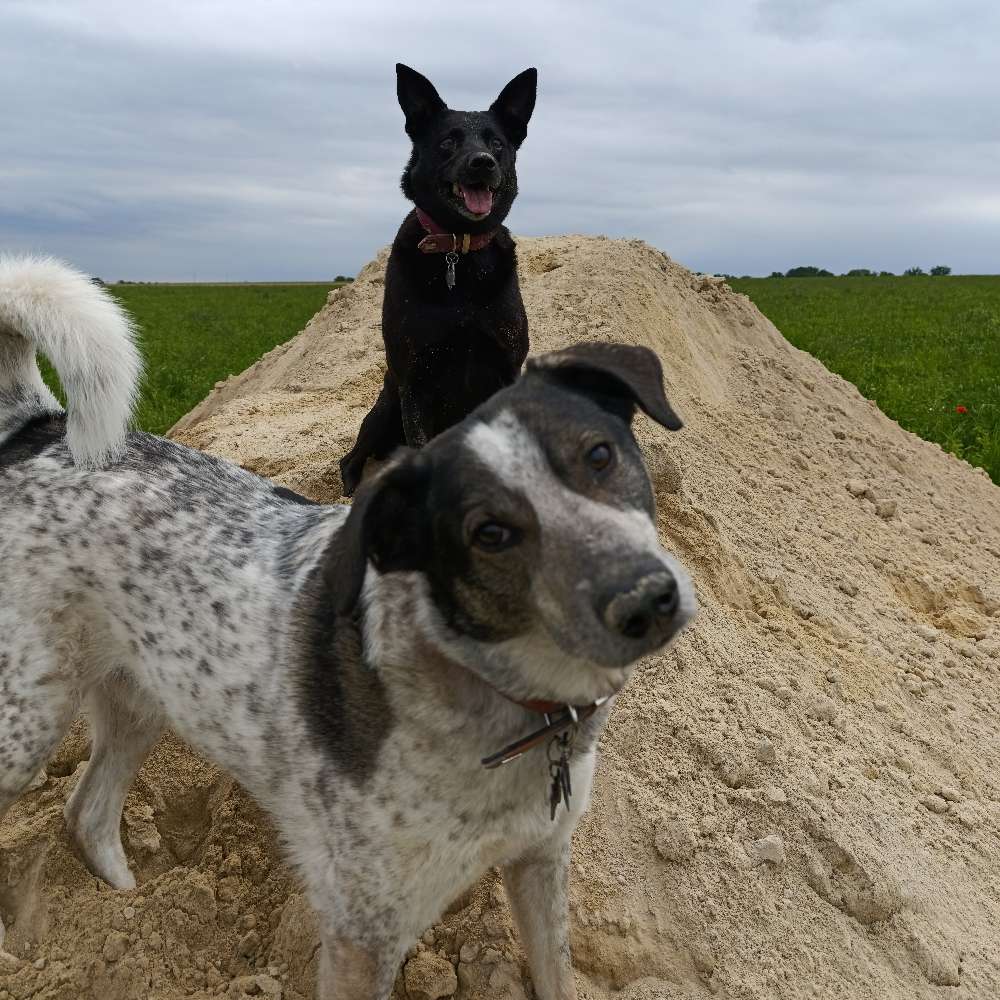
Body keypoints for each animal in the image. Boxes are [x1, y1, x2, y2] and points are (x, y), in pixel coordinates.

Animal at [1, 260, 696, 1000]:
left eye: (599, 455)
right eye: (489, 533)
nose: (648, 599)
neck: (511, 703)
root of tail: (39, 427)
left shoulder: (540, 860)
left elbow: (556, 974)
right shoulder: (364, 933)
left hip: (142, 697)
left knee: (86, 813)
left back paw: (131, 910)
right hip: (28, 721)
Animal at [340, 63, 536, 496]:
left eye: (497, 143)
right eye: (447, 142)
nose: (482, 162)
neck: (458, 253)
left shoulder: (505, 368)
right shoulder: (415, 382)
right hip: (386, 406)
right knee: (351, 460)